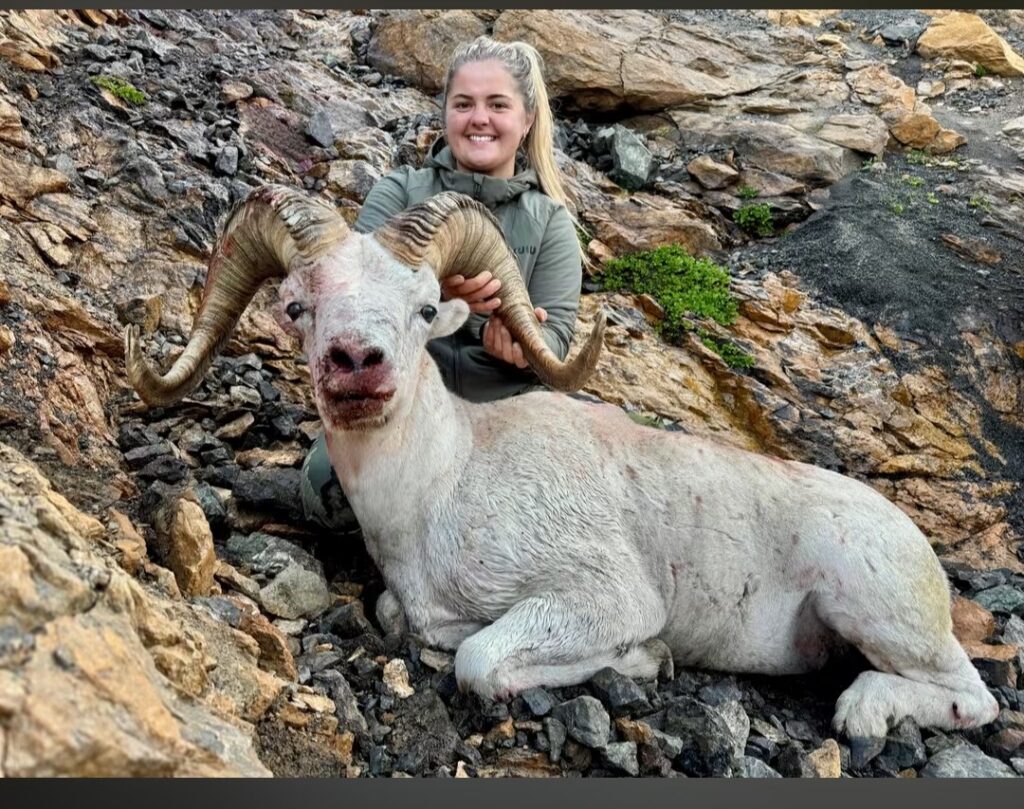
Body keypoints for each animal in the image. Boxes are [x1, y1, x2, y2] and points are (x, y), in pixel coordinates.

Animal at [124, 184, 998, 766]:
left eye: (423, 307)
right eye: (299, 306)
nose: (357, 363)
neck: (444, 486)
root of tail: (914, 544)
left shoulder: (600, 596)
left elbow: (479, 659)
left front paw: (645, 660)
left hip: (874, 607)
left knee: (968, 693)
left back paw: (864, 712)